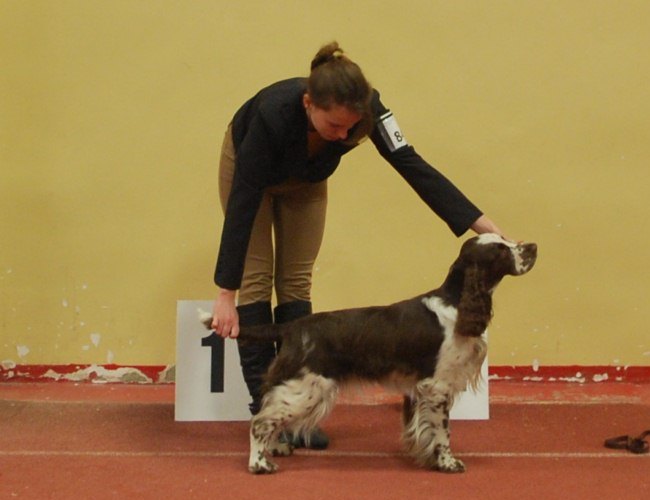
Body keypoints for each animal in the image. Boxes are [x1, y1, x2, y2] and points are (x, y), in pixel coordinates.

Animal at [202, 233, 537, 474]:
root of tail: (292, 327)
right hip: (307, 388)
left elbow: (421, 428)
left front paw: (424, 456)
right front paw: (447, 463)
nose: (532, 246)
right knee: (260, 421)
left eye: (507, 239)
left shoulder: (417, 388)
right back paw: (259, 464)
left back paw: (276, 449)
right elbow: (442, 431)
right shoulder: (437, 387)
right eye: (501, 250)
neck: (456, 303)